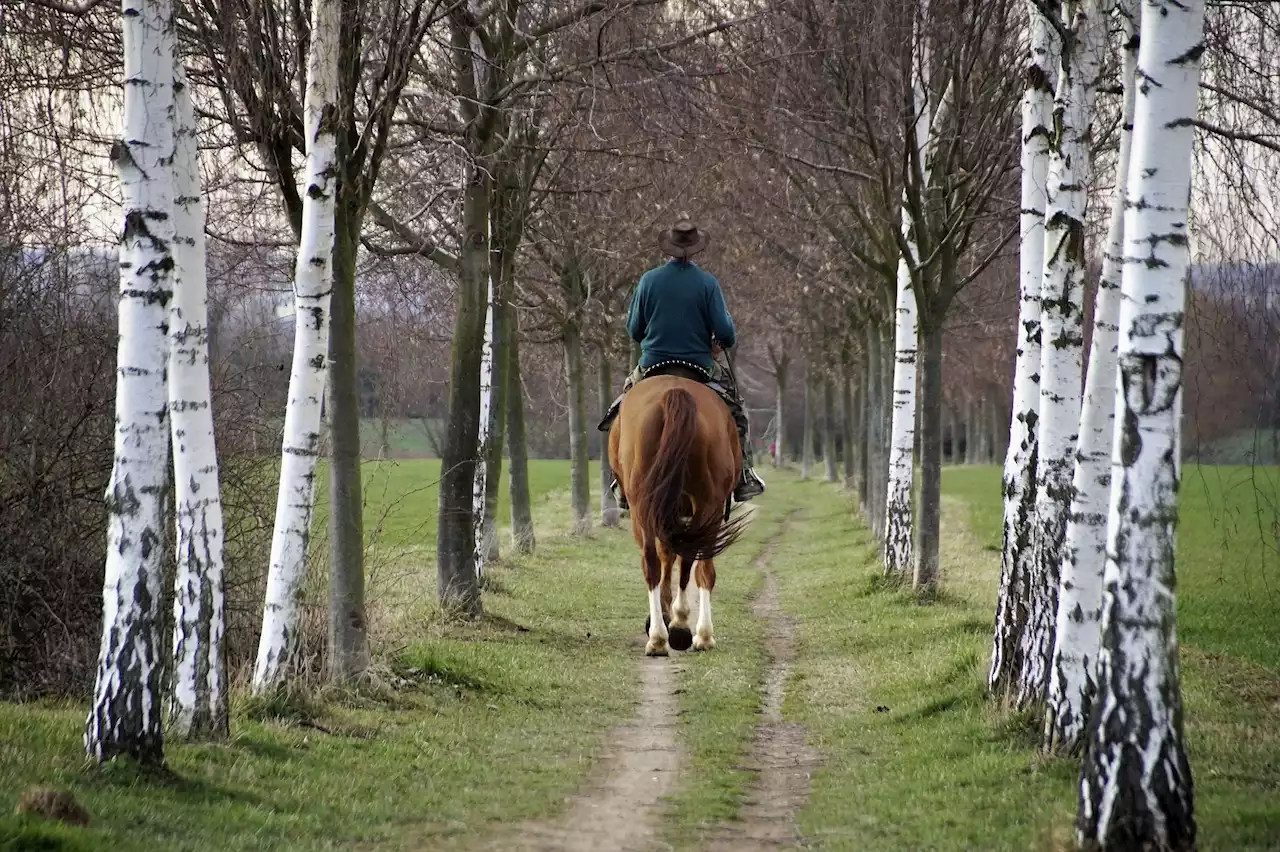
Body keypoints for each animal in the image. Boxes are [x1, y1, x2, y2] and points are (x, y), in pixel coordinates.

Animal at [609, 368, 747, 652]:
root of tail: (674, 392)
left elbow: (667, 556)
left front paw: (664, 615)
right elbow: (673, 555)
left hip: (645, 505)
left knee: (655, 562)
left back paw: (667, 634)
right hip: (706, 505)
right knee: (696, 563)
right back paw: (691, 633)